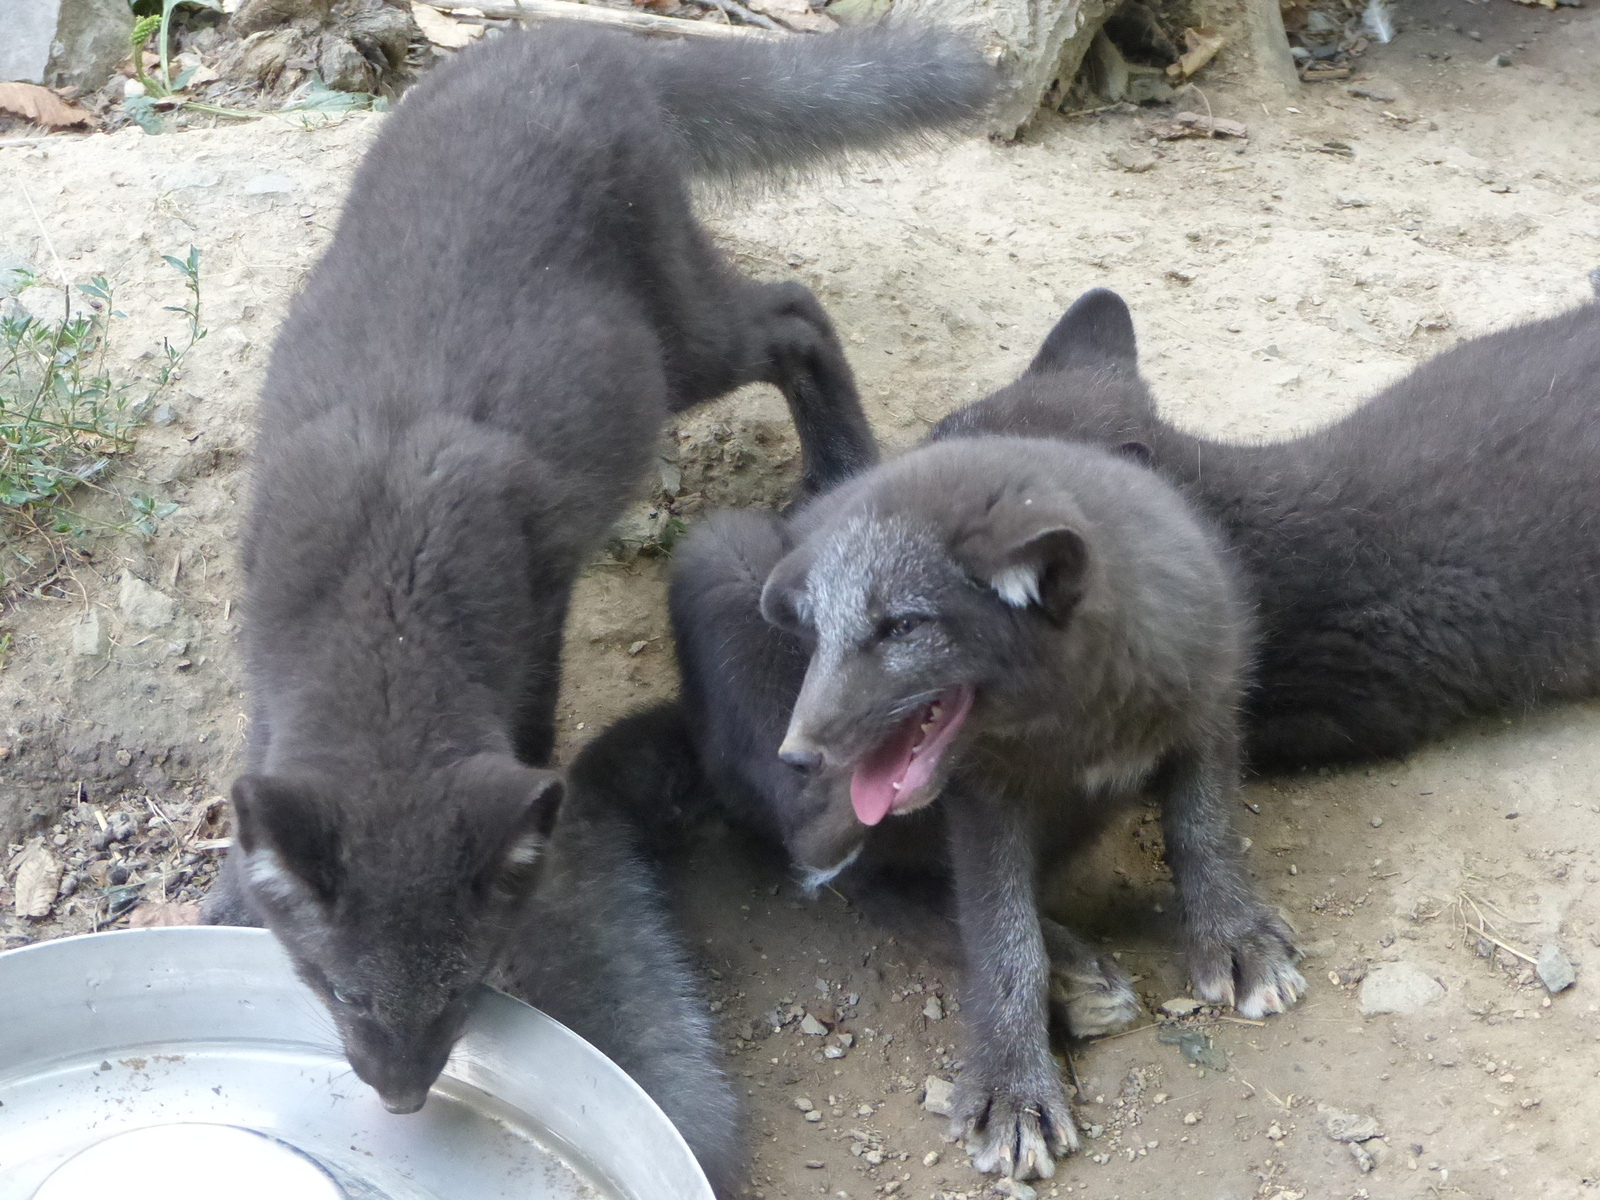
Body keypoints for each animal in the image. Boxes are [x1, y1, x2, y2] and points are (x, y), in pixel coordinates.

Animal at [668, 435, 1305, 1184]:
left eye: (903, 626)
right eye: (818, 634)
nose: (797, 755)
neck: (1074, 719)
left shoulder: (1208, 702)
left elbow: (1205, 831)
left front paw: (1235, 940)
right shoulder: (984, 801)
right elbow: (1004, 938)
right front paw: (1014, 1087)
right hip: (718, 558)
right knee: (858, 879)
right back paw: (1074, 974)